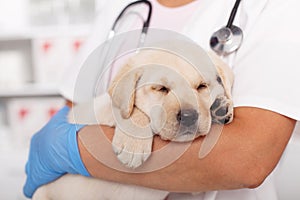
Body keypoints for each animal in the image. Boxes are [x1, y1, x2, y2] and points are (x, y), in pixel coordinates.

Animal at [32, 48, 234, 200]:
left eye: (202, 86)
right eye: (161, 89)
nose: (189, 116)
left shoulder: (192, 187)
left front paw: (220, 106)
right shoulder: (101, 111)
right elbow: (131, 110)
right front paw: (133, 146)